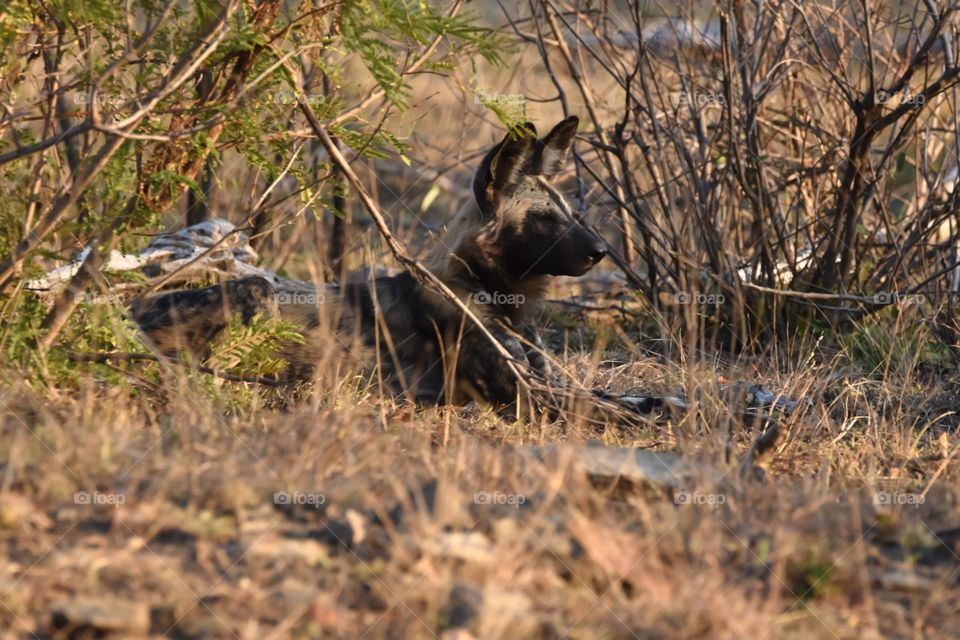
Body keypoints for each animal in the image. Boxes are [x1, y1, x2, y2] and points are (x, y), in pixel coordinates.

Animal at [132, 117, 608, 408]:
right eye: (544, 218)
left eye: (571, 212)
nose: (602, 250)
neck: (492, 291)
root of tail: (124, 311)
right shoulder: (528, 394)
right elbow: (615, 409)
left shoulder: (547, 381)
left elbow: (612, 398)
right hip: (258, 290)